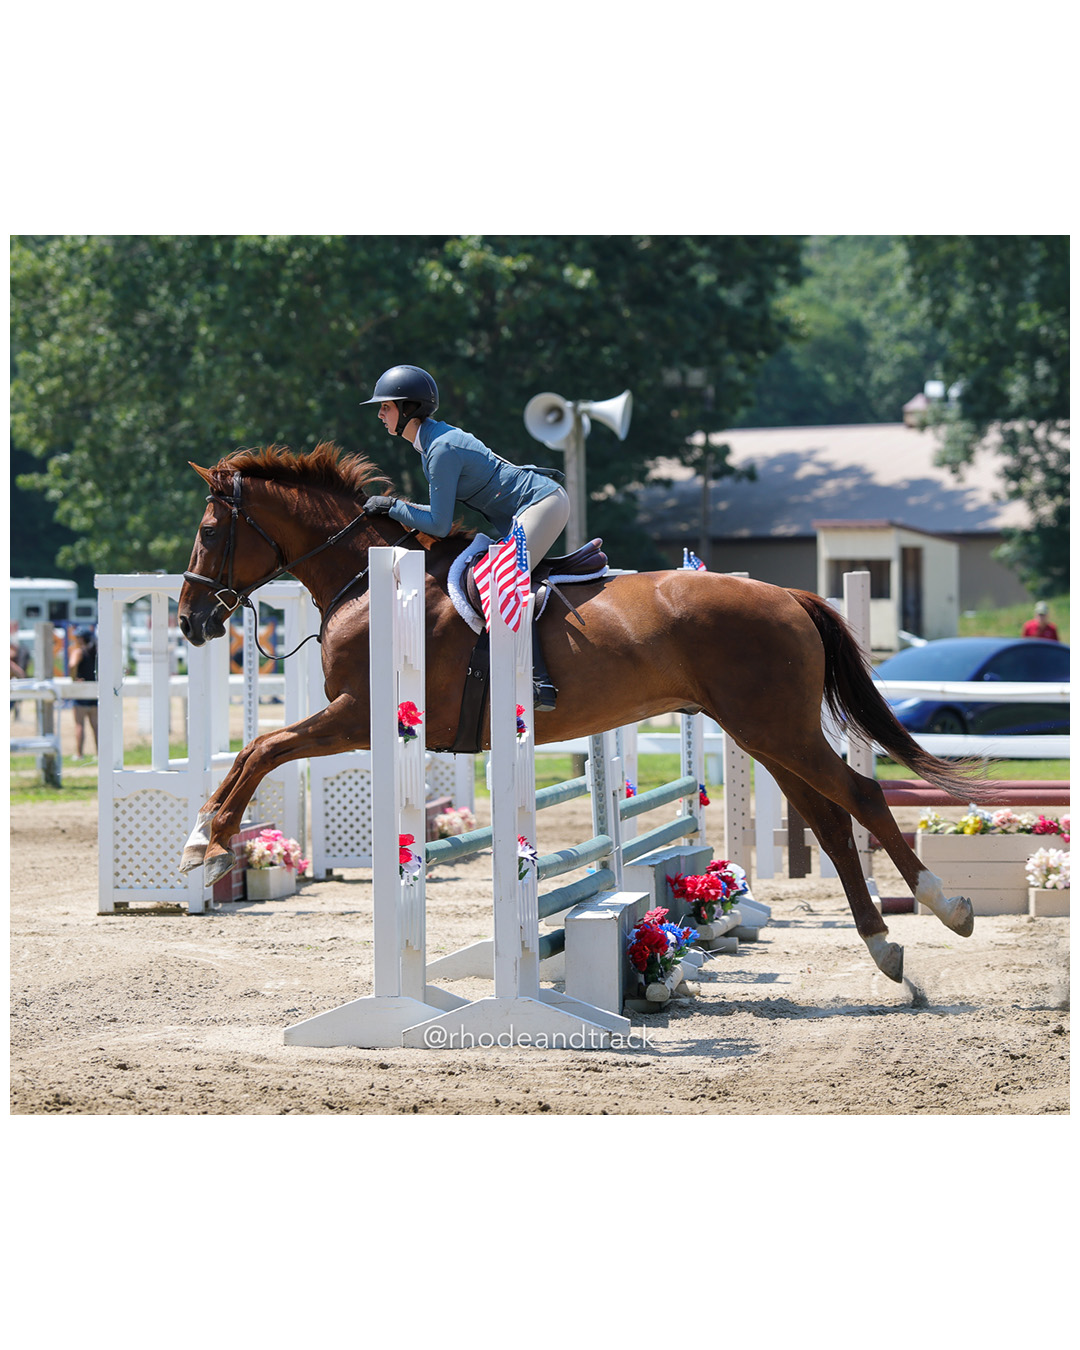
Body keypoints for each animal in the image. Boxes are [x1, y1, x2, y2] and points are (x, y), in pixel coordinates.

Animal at [177, 441, 986, 983]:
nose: (190, 621)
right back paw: (884, 947)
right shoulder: (359, 719)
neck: (369, 583)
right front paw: (203, 840)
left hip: (776, 727)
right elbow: (258, 750)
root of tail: (787, 594)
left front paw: (206, 843)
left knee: (862, 796)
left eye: (211, 533)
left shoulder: (357, 715)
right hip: (765, 733)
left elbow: (264, 749)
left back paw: (946, 908)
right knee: (830, 820)